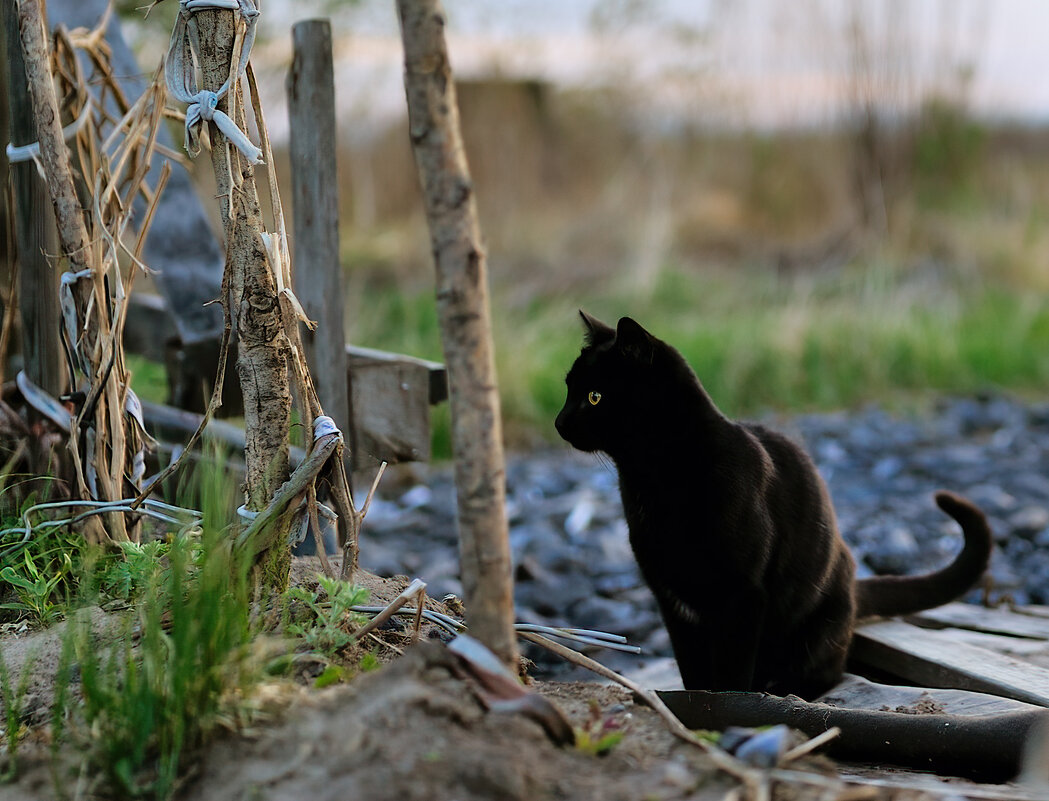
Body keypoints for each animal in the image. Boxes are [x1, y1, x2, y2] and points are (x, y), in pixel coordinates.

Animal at [558, 310, 990, 696]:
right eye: (568, 389)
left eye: (594, 397)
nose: (559, 422)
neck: (653, 478)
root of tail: (852, 584)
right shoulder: (672, 600)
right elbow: (692, 668)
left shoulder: (742, 596)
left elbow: (731, 673)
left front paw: (732, 709)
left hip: (814, 627)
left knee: (828, 672)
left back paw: (783, 690)